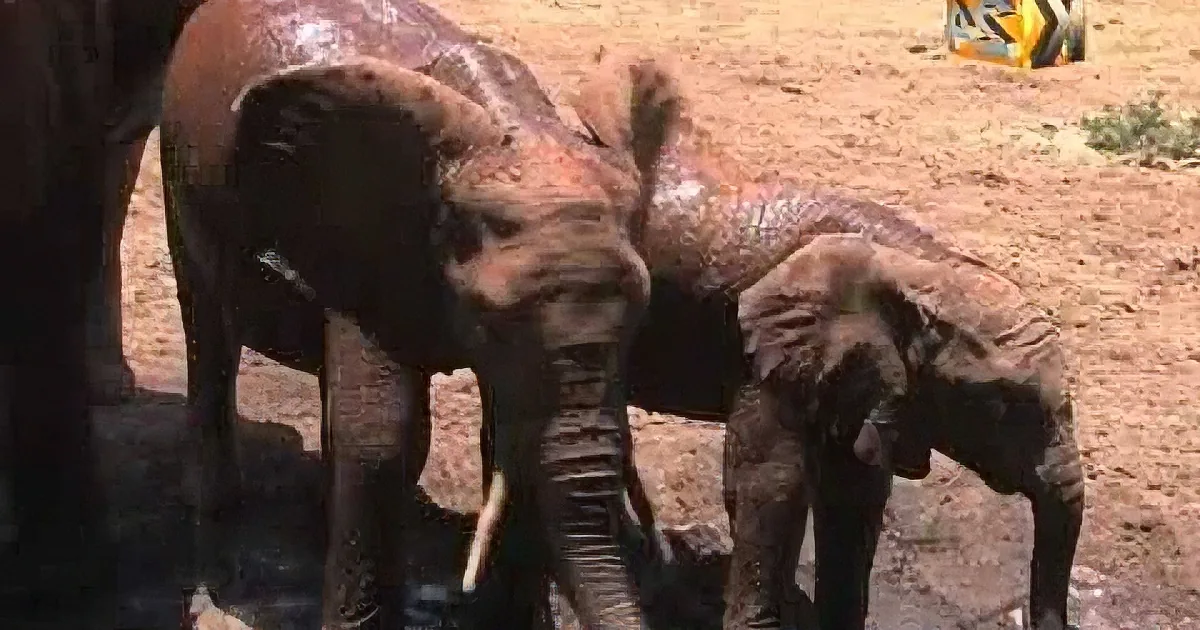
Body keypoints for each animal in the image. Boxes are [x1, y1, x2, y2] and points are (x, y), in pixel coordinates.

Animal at [159, 1, 681, 627]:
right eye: (491, 321)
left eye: (641, 319)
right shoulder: (373, 242)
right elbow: (383, 438)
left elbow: (505, 439)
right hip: (177, 168)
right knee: (206, 324)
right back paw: (215, 524)